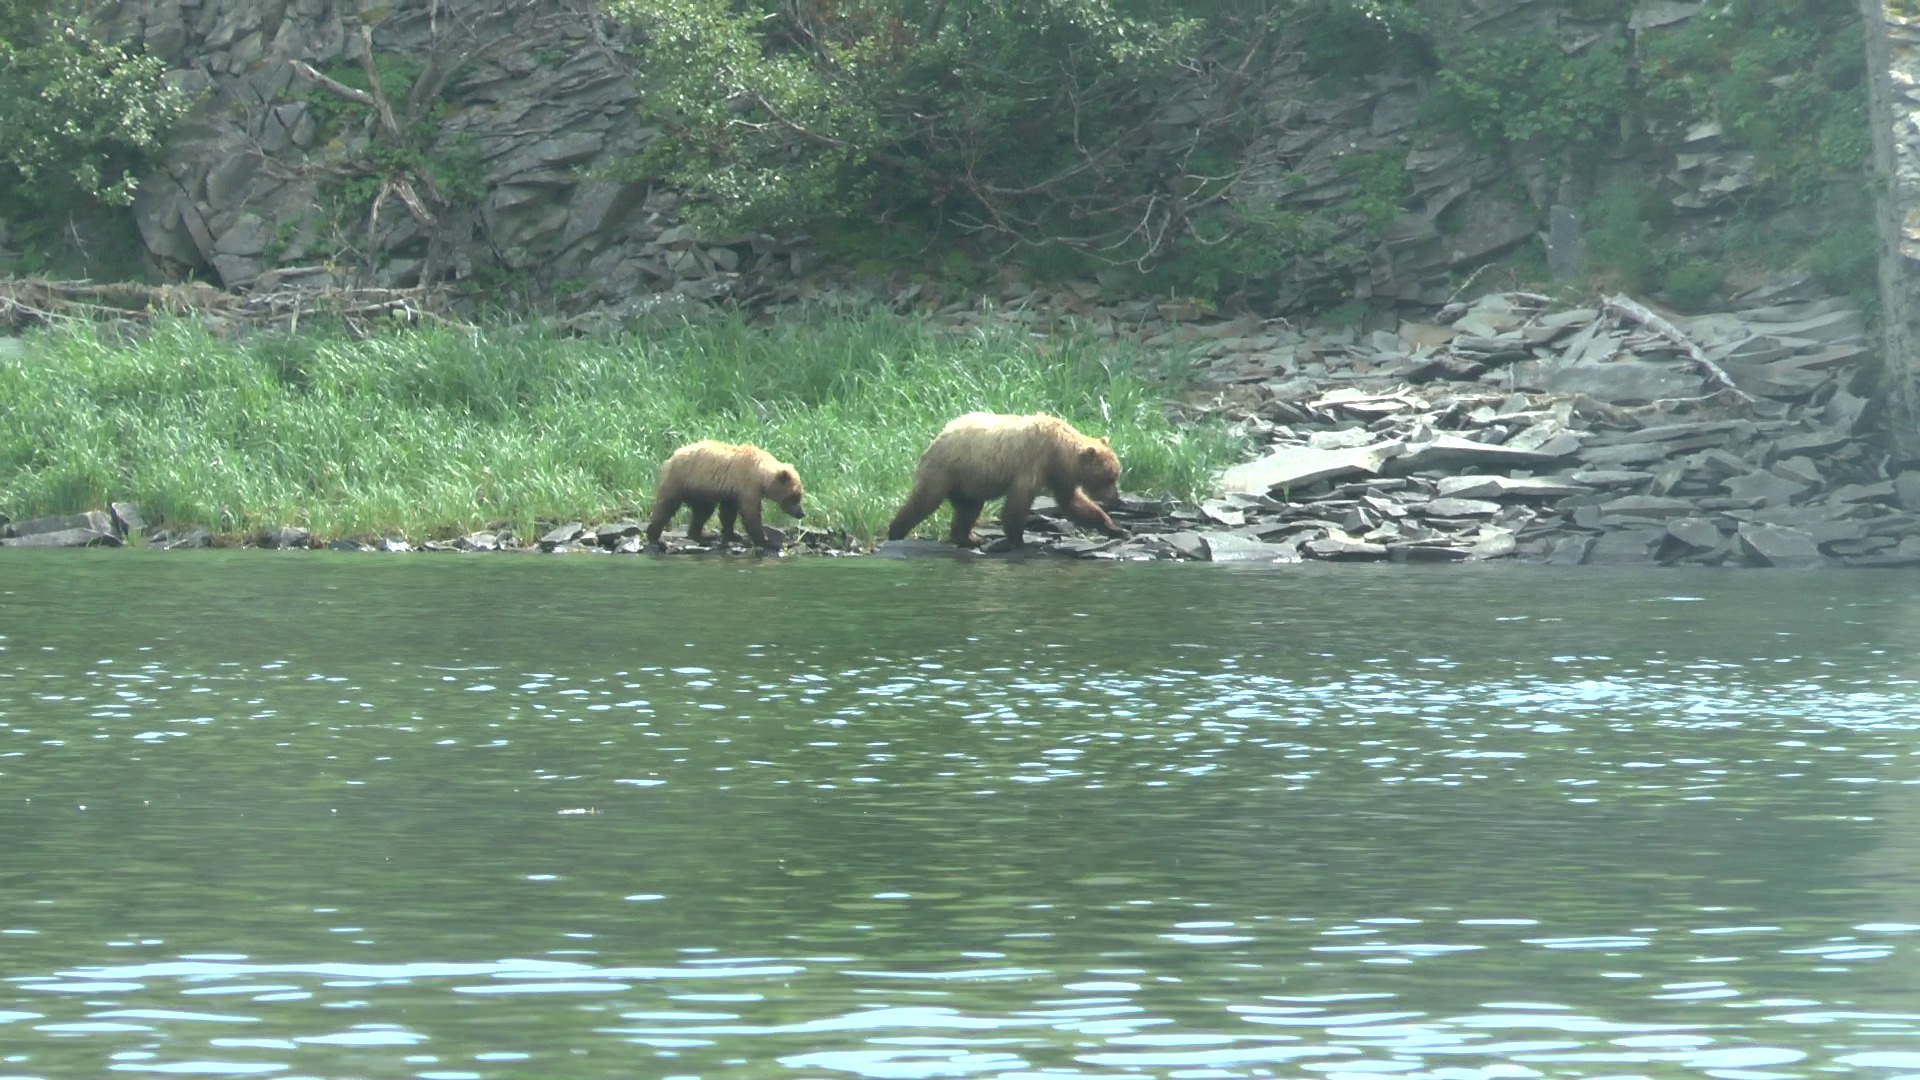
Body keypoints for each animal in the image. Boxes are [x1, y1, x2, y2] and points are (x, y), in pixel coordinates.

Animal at [645, 440, 806, 549]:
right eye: (795, 496)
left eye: (800, 495)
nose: (801, 513)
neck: (761, 473)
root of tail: (670, 458)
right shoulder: (747, 485)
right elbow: (751, 513)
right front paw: (766, 540)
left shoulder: (732, 490)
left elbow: (728, 513)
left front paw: (733, 535)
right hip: (682, 481)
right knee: (666, 507)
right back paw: (656, 537)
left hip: (700, 491)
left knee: (703, 511)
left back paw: (702, 535)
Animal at [886, 412, 1126, 549]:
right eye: (1109, 477)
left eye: (1116, 474)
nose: (1116, 497)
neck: (1058, 450)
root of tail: (935, 438)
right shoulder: (1033, 461)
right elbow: (1018, 501)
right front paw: (1017, 540)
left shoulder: (1059, 474)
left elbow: (1073, 502)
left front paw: (1114, 527)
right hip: (947, 470)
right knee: (925, 500)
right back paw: (896, 531)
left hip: (970, 482)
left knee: (969, 508)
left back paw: (970, 538)